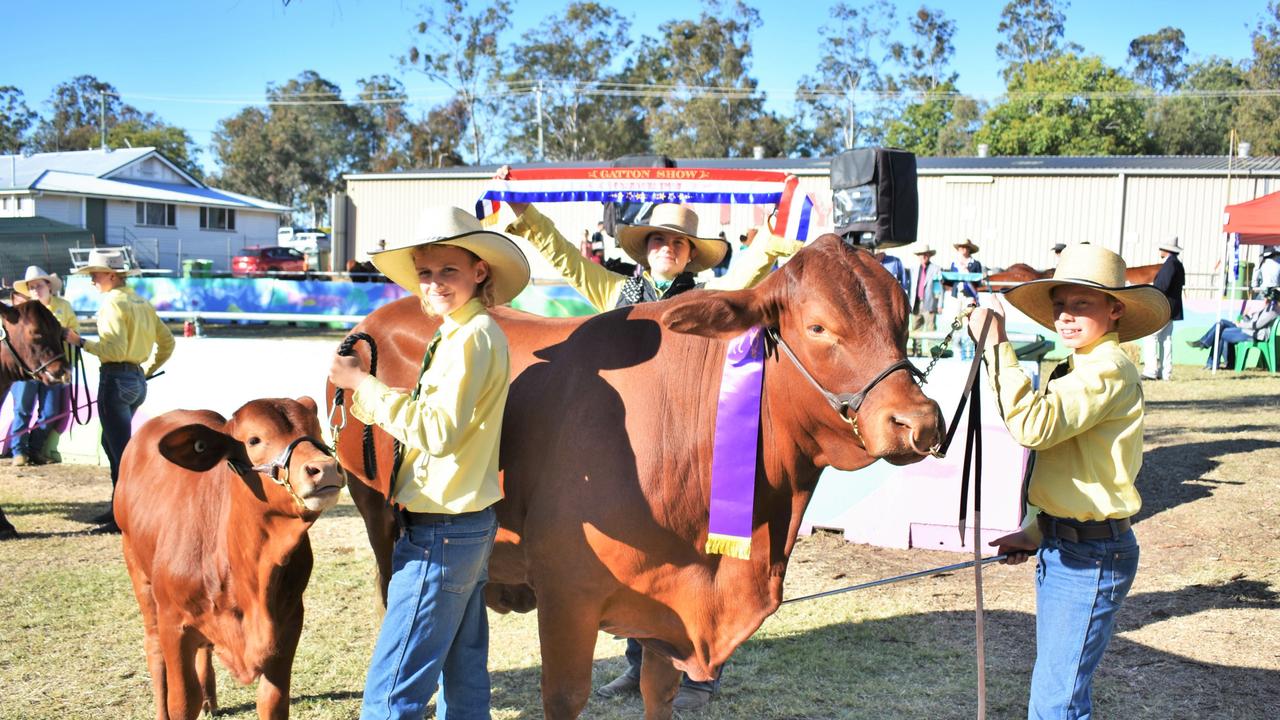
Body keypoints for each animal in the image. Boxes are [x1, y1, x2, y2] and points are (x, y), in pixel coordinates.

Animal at [115, 394, 343, 712]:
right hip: (138, 571)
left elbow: (271, 700)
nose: (326, 468)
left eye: (317, 430)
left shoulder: (289, 623)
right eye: (254, 440)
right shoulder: (174, 624)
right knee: (154, 649)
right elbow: (182, 700)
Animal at [330, 233, 942, 712]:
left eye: (901, 319)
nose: (920, 422)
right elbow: (564, 695)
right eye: (817, 327)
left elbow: (657, 691)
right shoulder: (567, 596)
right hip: (377, 516)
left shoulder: (669, 608)